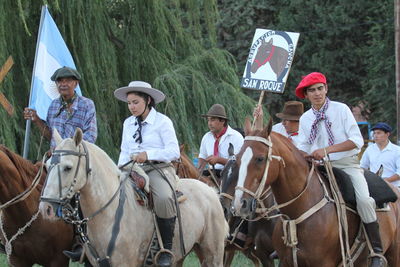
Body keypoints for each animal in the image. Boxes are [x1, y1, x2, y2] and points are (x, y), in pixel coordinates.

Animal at [41, 129, 230, 266]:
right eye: (47, 166)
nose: (46, 208)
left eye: (68, 167)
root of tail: (211, 191)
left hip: (213, 254)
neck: (110, 211)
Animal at [231, 121, 400, 267]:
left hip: (394, 255)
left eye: (260, 159)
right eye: (237, 159)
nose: (240, 204)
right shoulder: (285, 261)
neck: (297, 213)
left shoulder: (323, 263)